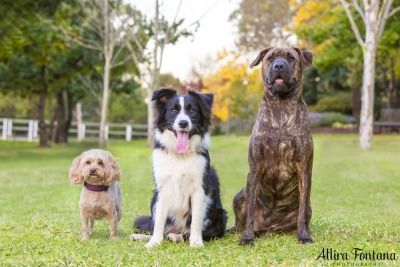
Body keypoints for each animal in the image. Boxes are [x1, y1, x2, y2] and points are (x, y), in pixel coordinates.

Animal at [233, 47, 314, 246]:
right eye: (270, 58)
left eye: (291, 58)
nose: (279, 66)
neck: (281, 107)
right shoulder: (254, 168)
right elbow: (249, 212)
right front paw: (246, 237)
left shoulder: (304, 169)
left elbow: (302, 213)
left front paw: (304, 235)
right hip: (240, 194)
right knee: (241, 221)